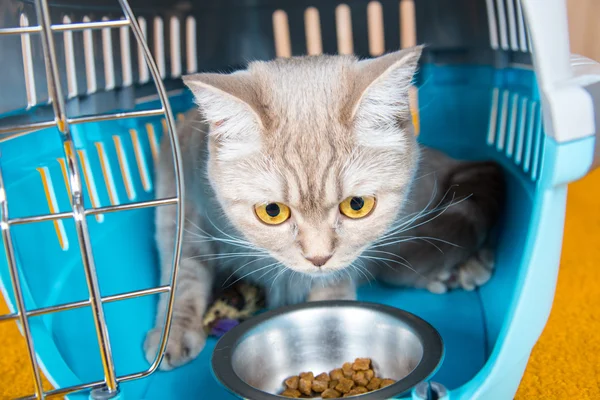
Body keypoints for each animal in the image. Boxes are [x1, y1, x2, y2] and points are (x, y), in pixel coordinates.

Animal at [143, 47, 504, 372]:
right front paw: (172, 334)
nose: (318, 258)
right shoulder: (182, 213)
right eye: (272, 211)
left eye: (357, 205)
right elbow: (182, 277)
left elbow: (334, 291)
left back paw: (468, 265)